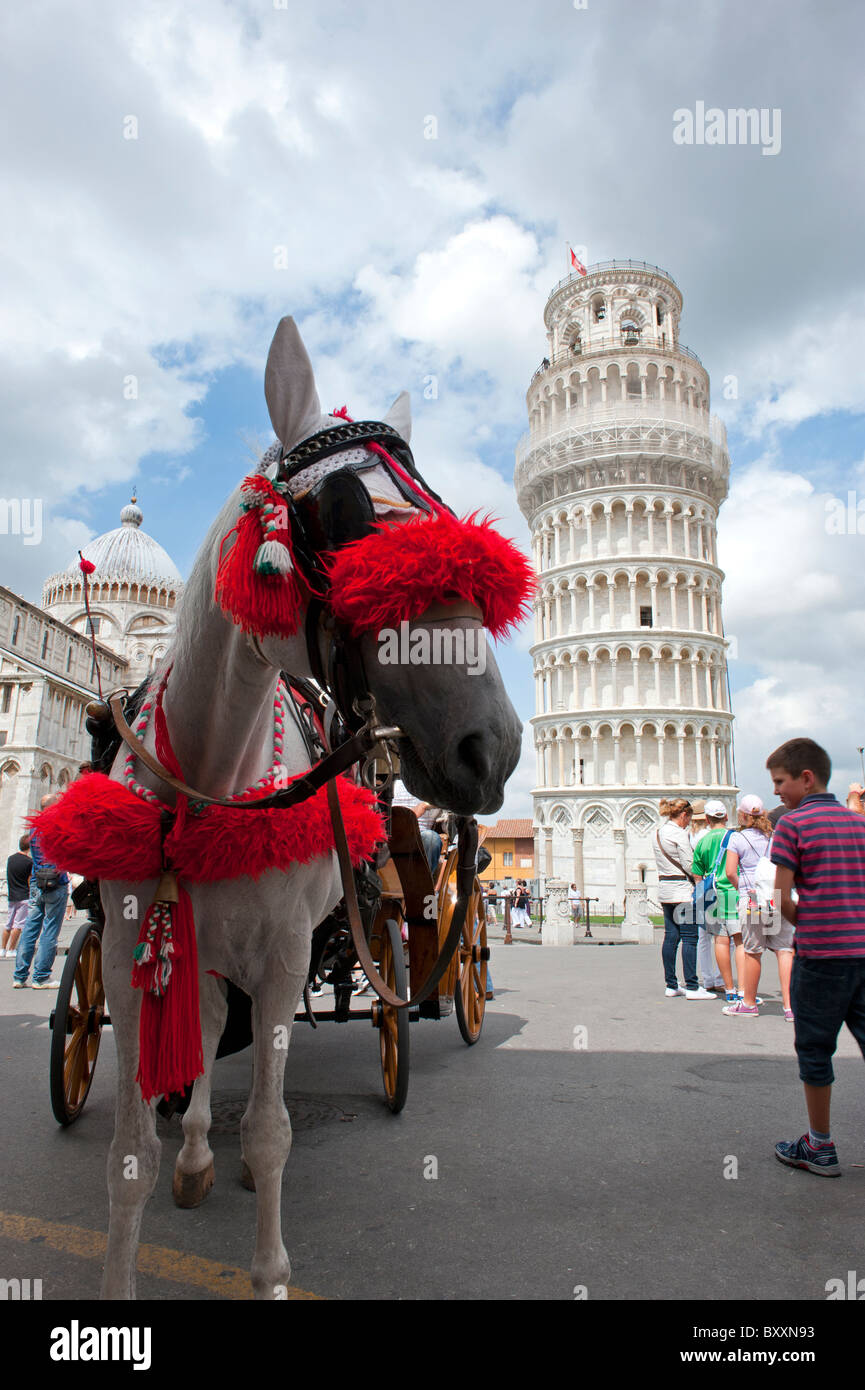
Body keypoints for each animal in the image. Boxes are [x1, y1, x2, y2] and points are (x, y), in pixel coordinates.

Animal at [95, 319, 525, 1295]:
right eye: (343, 517)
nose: (491, 746)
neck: (208, 776)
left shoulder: (288, 950)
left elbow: (271, 1129)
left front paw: (269, 1269)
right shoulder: (131, 954)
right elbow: (131, 1154)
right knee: (210, 1030)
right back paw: (196, 1156)